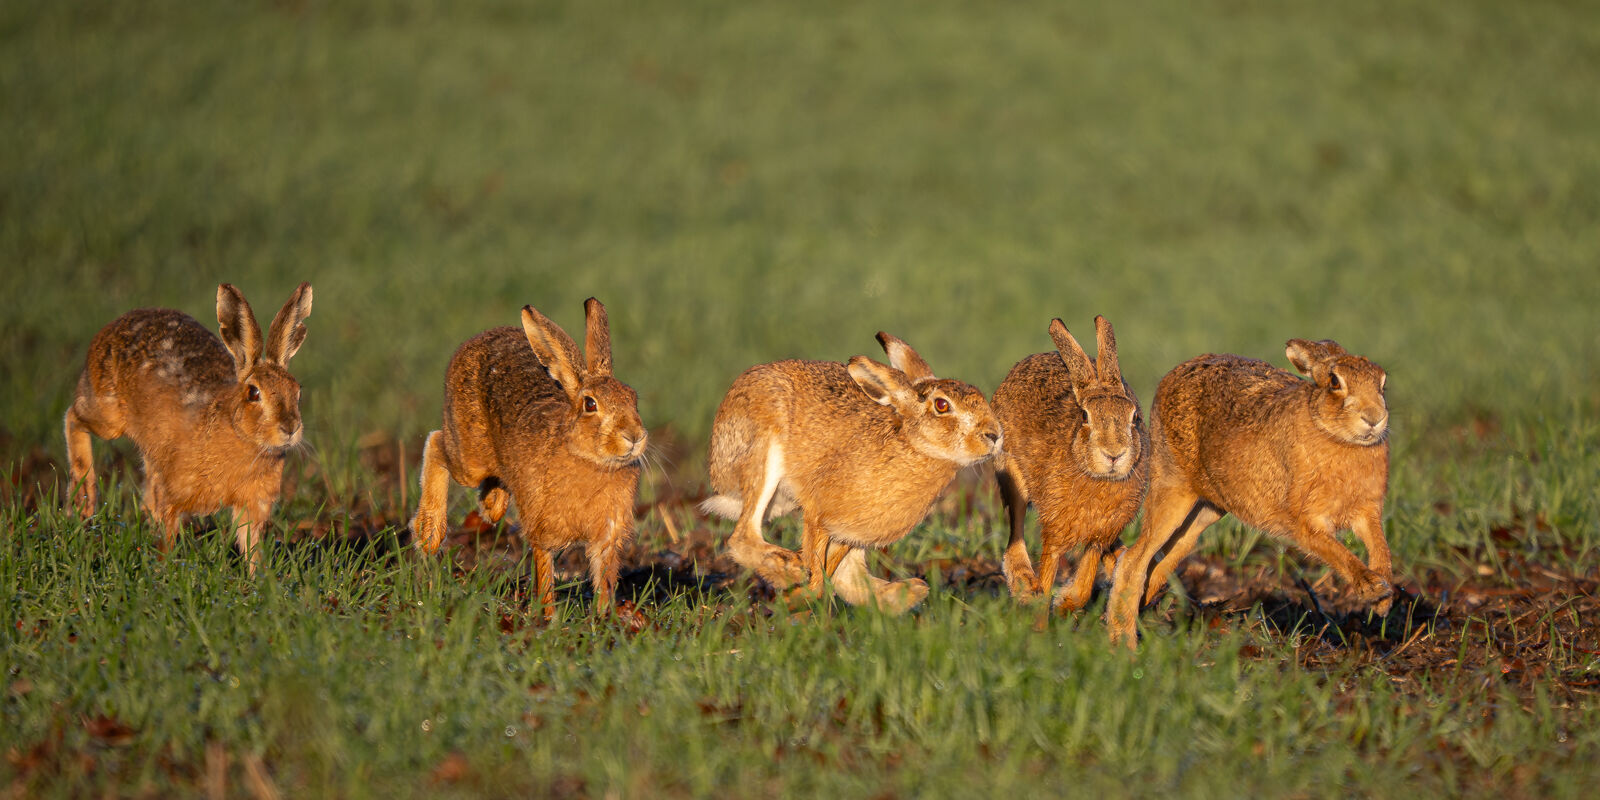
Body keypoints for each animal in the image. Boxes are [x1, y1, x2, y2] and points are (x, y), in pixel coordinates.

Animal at [64, 283, 314, 573]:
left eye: (297, 392)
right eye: (253, 393)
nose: (290, 428)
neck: (236, 431)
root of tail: (113, 326)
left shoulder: (254, 504)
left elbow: (251, 545)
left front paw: (258, 578)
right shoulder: (173, 494)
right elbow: (167, 535)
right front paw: (163, 571)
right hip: (107, 415)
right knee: (73, 418)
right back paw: (84, 501)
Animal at [409, 298, 647, 617]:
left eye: (633, 399)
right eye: (590, 404)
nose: (634, 436)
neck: (590, 460)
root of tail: (478, 339)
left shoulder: (607, 537)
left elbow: (605, 577)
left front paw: (603, 617)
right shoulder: (543, 530)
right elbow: (544, 573)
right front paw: (548, 617)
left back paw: (489, 505)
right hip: (469, 459)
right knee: (436, 442)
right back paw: (429, 535)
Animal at [701, 332, 1003, 614]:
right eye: (942, 405)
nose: (995, 435)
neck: (913, 445)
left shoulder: (849, 533)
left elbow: (832, 572)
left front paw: (797, 598)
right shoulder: (818, 515)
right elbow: (816, 571)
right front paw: (798, 593)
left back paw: (907, 592)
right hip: (763, 450)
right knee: (742, 536)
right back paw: (790, 570)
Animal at [992, 316, 1149, 613]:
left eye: (1135, 417)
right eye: (1085, 416)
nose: (1114, 454)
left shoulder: (1100, 533)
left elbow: (1085, 583)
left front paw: (1064, 602)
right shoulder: (1056, 528)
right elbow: (1049, 570)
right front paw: (1041, 605)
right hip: (1011, 474)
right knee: (1015, 528)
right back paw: (1023, 585)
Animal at [1105, 338, 1394, 647]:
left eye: (1382, 383)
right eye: (1334, 382)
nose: (1374, 418)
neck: (1332, 433)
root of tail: (1174, 375)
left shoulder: (1367, 512)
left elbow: (1381, 547)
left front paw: (1383, 601)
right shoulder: (1307, 523)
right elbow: (1339, 553)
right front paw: (1374, 589)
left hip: (1209, 507)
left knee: (1170, 553)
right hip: (1174, 486)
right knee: (1133, 560)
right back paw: (1124, 643)